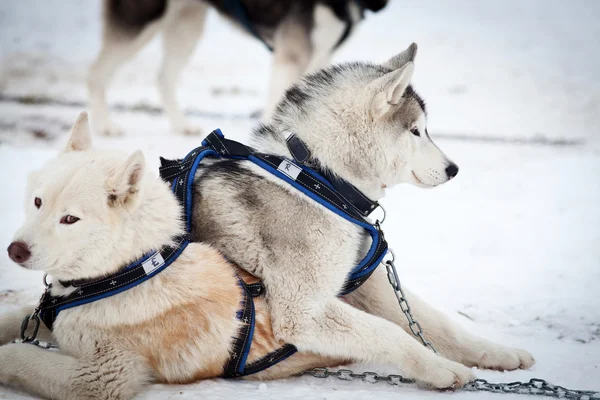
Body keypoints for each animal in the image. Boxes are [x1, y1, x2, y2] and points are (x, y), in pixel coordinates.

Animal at [89, 0, 390, 136]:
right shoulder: (291, 53)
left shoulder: (322, 54)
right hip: (141, 19)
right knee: (95, 73)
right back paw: (104, 125)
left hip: (187, 23)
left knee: (164, 77)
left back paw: (181, 125)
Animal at [189, 43, 536, 388]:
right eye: (415, 131)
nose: (454, 169)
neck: (318, 178)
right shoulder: (303, 310)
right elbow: (388, 331)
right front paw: (441, 368)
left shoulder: (364, 282)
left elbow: (434, 321)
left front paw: (499, 353)